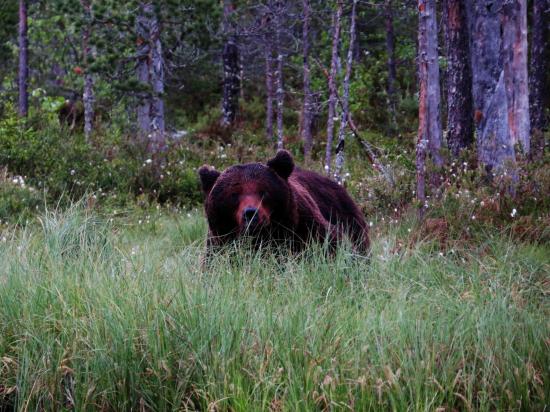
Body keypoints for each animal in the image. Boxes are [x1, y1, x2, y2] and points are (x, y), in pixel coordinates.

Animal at [198, 150, 370, 256]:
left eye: (264, 191)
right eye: (234, 195)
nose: (251, 213)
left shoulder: (305, 230)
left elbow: (336, 246)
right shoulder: (219, 245)